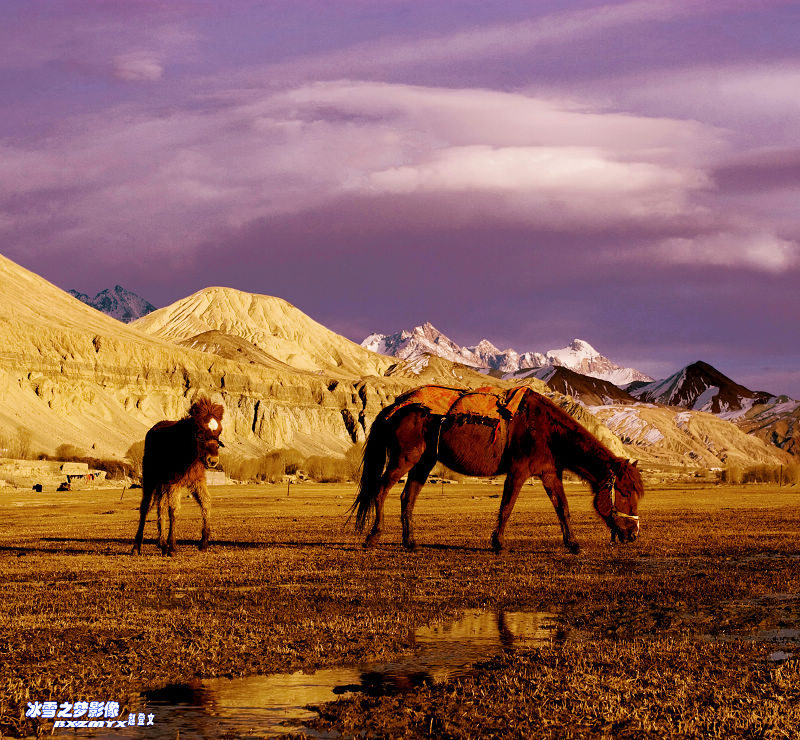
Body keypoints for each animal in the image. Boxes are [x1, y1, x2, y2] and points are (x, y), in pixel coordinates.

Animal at [131, 398, 223, 556]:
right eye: (199, 432)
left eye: (219, 432)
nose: (213, 460)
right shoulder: (174, 482)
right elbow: (174, 509)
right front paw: (173, 546)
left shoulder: (197, 480)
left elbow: (206, 502)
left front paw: (203, 543)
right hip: (151, 478)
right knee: (146, 507)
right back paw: (137, 546)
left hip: (162, 483)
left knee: (160, 506)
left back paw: (162, 544)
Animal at [350, 384, 644, 552]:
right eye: (625, 492)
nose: (633, 534)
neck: (547, 431)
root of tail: (394, 407)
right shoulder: (519, 471)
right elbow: (506, 507)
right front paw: (498, 543)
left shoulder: (549, 473)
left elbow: (563, 508)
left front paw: (572, 544)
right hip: (404, 458)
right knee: (381, 490)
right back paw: (373, 538)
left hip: (424, 461)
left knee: (407, 497)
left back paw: (410, 542)